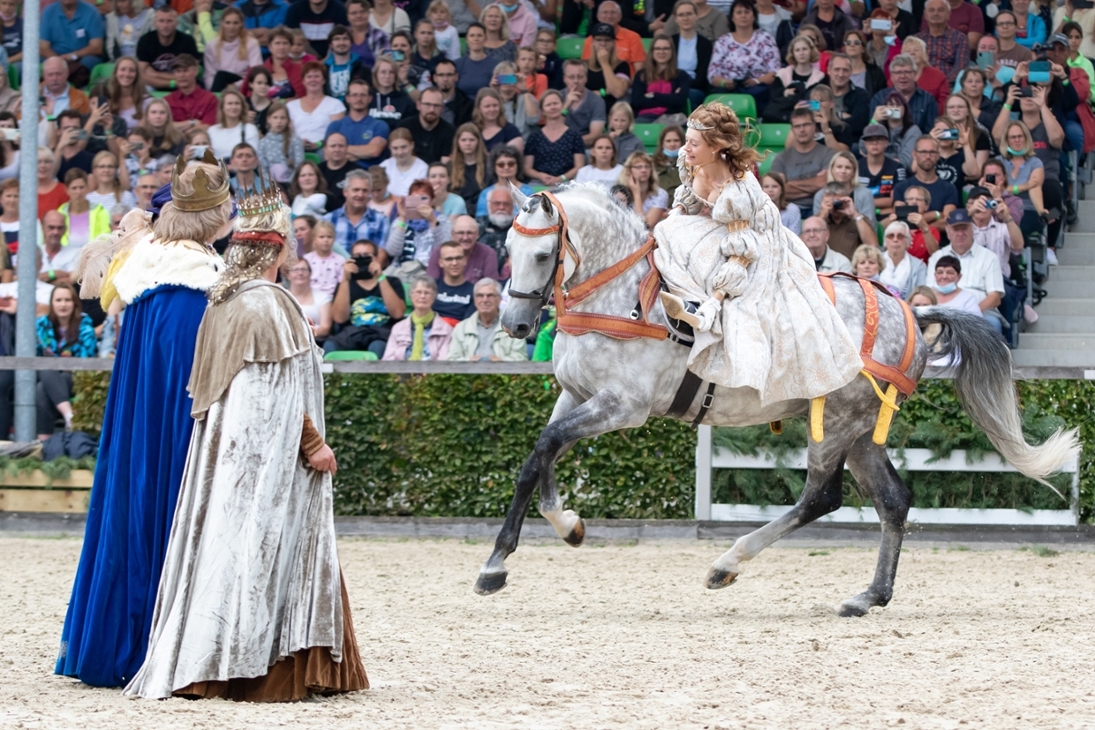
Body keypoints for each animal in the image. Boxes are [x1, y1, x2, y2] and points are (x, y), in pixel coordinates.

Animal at [479, 183, 1077, 617]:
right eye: (508, 249)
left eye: (542, 253)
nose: (514, 324)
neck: (623, 297)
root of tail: (911, 310)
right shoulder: (575, 395)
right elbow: (540, 456)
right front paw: (542, 537)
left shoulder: (621, 406)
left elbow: (545, 447)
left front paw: (523, 548)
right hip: (863, 432)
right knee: (893, 500)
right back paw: (869, 596)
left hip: (837, 422)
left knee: (820, 497)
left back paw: (728, 562)